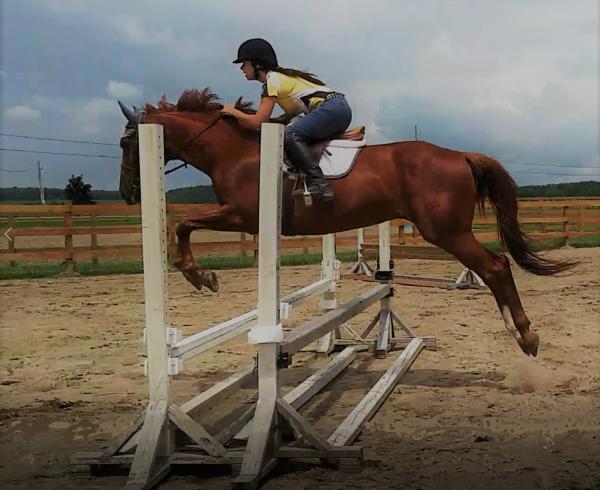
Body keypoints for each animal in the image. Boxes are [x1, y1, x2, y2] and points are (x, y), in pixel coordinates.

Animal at [118, 88, 576, 356]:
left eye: (126, 142)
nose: (127, 192)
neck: (235, 150)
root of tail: (461, 154)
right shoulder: (245, 217)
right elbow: (186, 223)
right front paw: (201, 275)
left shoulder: (243, 214)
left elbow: (184, 222)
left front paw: (200, 276)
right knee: (496, 266)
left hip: (446, 231)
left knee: (495, 266)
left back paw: (525, 336)